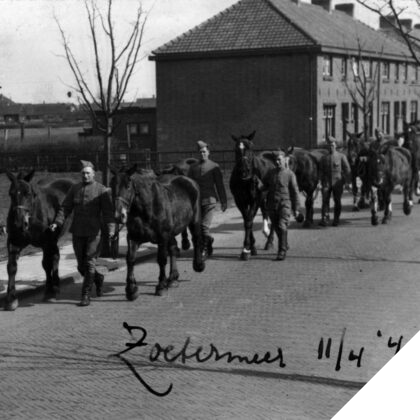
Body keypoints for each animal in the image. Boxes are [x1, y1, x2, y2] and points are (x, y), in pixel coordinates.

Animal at [3, 169, 74, 310]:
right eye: (11, 193)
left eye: (29, 193)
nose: (19, 223)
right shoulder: (14, 242)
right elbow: (12, 267)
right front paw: (11, 299)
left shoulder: (46, 242)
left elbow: (46, 264)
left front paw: (49, 292)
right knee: (56, 256)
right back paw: (57, 284)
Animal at [110, 164, 204, 298]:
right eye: (111, 185)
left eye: (128, 186)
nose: (119, 215)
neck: (147, 208)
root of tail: (187, 180)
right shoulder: (133, 237)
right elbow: (131, 259)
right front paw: (131, 289)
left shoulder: (162, 237)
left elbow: (162, 259)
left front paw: (161, 286)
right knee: (173, 248)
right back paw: (173, 278)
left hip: (194, 220)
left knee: (196, 239)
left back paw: (198, 265)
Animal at [230, 130, 276, 260]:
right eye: (236, 149)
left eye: (251, 147)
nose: (244, 170)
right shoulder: (240, 201)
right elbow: (247, 219)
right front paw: (251, 247)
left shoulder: (255, 199)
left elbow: (249, 221)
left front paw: (246, 250)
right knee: (265, 211)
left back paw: (269, 242)